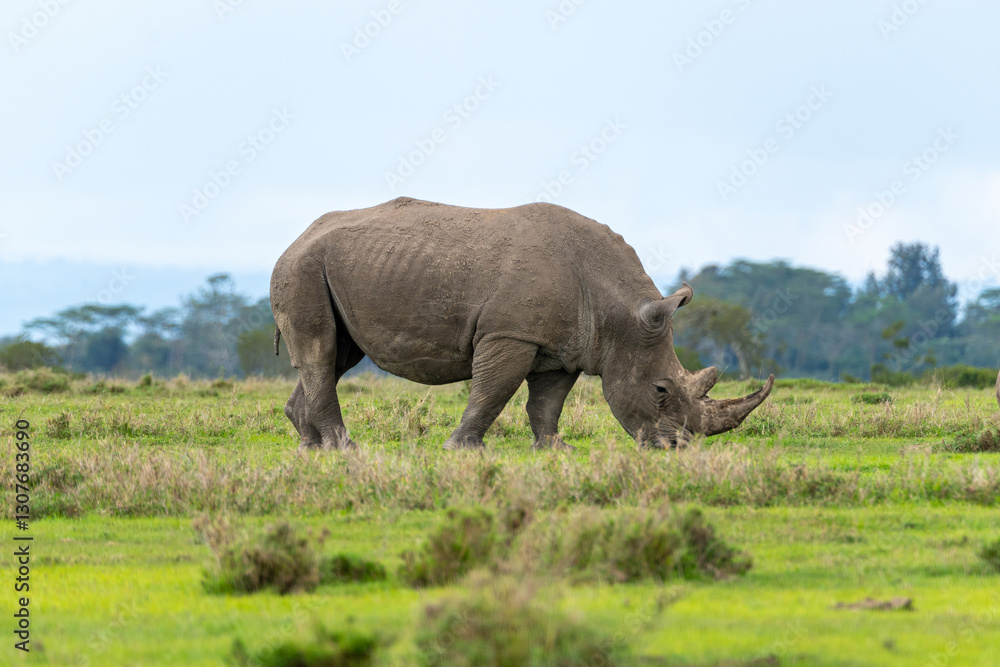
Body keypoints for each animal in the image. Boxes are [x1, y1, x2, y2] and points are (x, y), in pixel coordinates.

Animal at [270, 197, 773, 450]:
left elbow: (547, 402)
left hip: (329, 267)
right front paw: (464, 450)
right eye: (661, 390)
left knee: (338, 355)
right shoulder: (510, 333)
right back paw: (343, 448)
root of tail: (295, 238)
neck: (618, 313)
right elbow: (492, 392)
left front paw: (555, 450)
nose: (678, 449)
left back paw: (310, 446)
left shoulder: (567, 347)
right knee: (321, 351)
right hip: (302, 268)